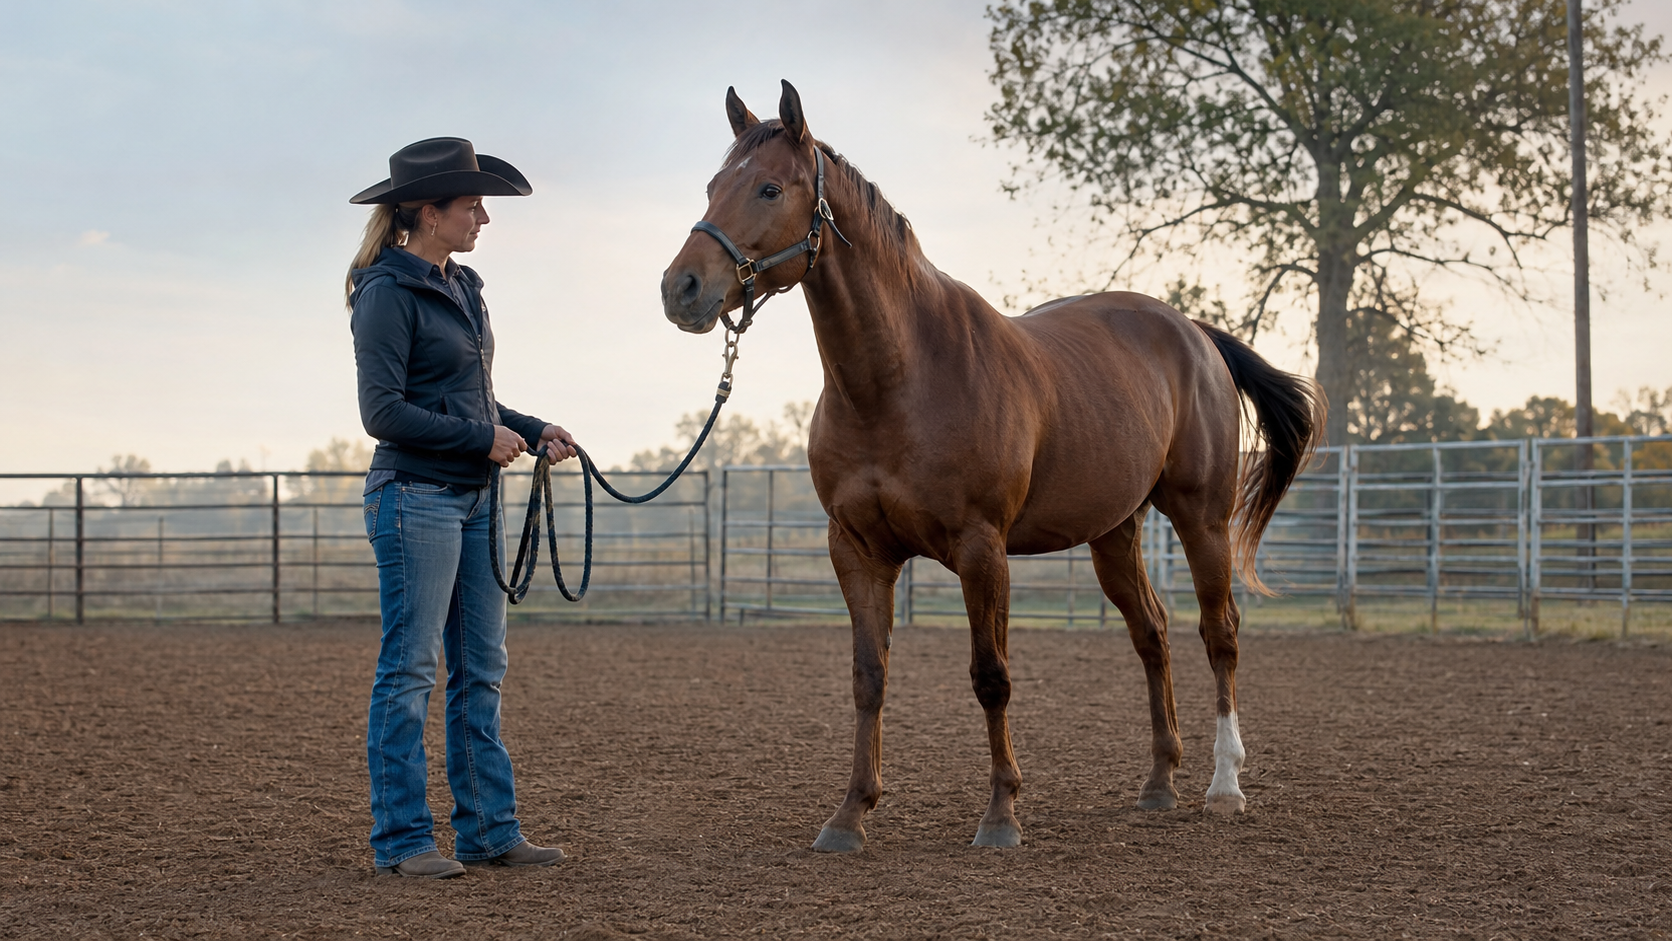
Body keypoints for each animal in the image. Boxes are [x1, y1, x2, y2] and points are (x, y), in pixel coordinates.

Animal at [660, 81, 1325, 852]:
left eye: (769, 188)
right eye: (714, 186)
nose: (681, 288)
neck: (899, 380)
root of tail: (1194, 334)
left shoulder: (982, 549)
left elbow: (991, 676)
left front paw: (1002, 813)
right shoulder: (856, 550)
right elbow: (868, 677)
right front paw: (850, 813)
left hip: (1201, 518)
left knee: (1220, 634)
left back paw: (1224, 786)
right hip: (1114, 533)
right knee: (1152, 635)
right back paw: (1159, 782)